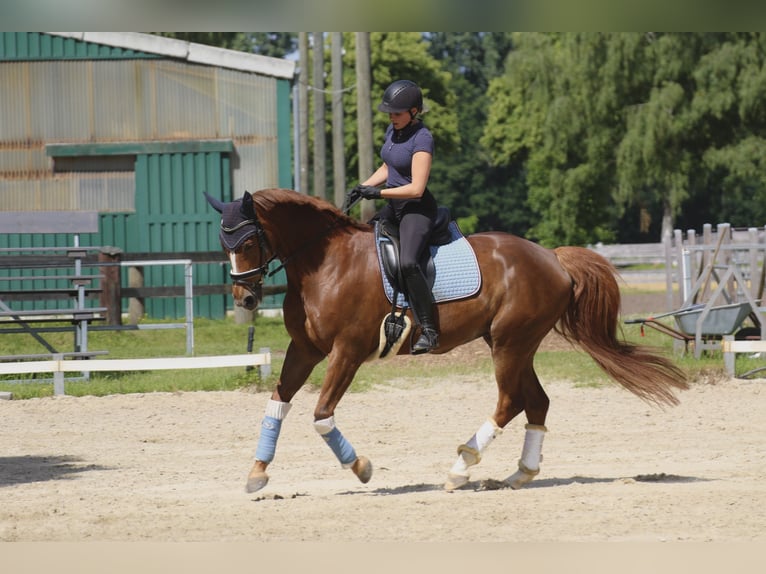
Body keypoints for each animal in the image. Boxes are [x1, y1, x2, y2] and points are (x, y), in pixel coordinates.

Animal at [206, 190, 688, 496]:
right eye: (222, 241)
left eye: (248, 240)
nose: (245, 299)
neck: (323, 263)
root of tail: (552, 256)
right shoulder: (305, 349)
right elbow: (277, 403)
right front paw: (256, 474)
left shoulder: (348, 351)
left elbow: (322, 416)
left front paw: (361, 468)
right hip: (512, 344)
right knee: (537, 402)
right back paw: (520, 474)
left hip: (510, 344)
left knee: (510, 401)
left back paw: (460, 469)